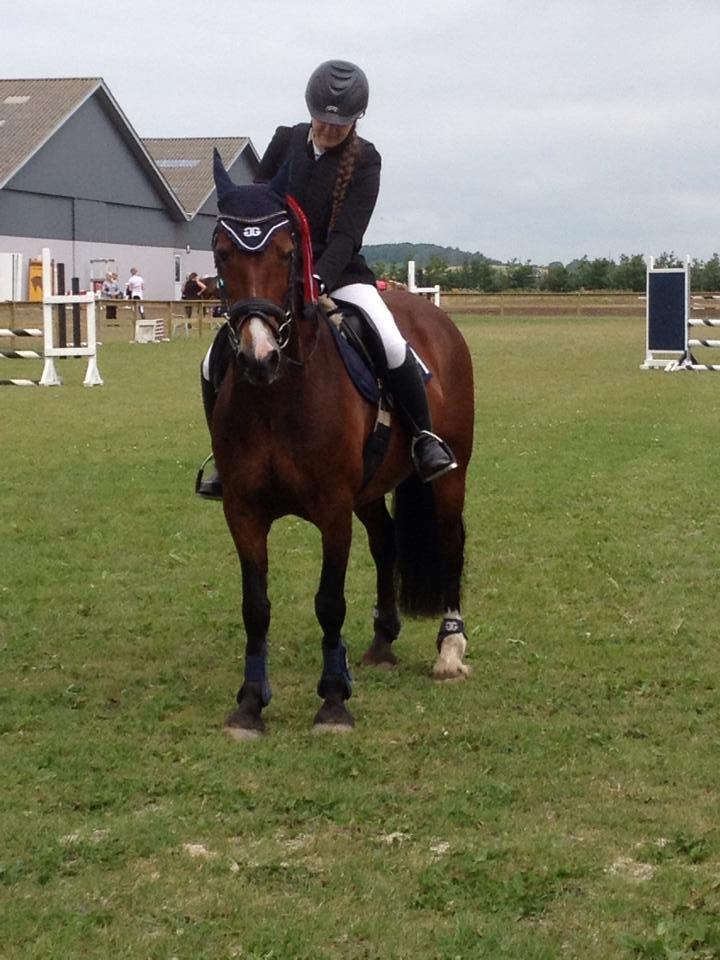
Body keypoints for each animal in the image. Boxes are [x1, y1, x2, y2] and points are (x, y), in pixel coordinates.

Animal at [208, 159, 476, 744]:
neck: (277, 395)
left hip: (449, 476)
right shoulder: (243, 511)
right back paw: (382, 641)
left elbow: (329, 603)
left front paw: (333, 702)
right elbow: (255, 607)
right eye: (220, 251)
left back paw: (449, 649)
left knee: (450, 542)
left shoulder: (332, 510)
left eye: (288, 251)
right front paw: (250, 704)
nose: (259, 357)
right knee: (386, 541)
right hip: (370, 491)